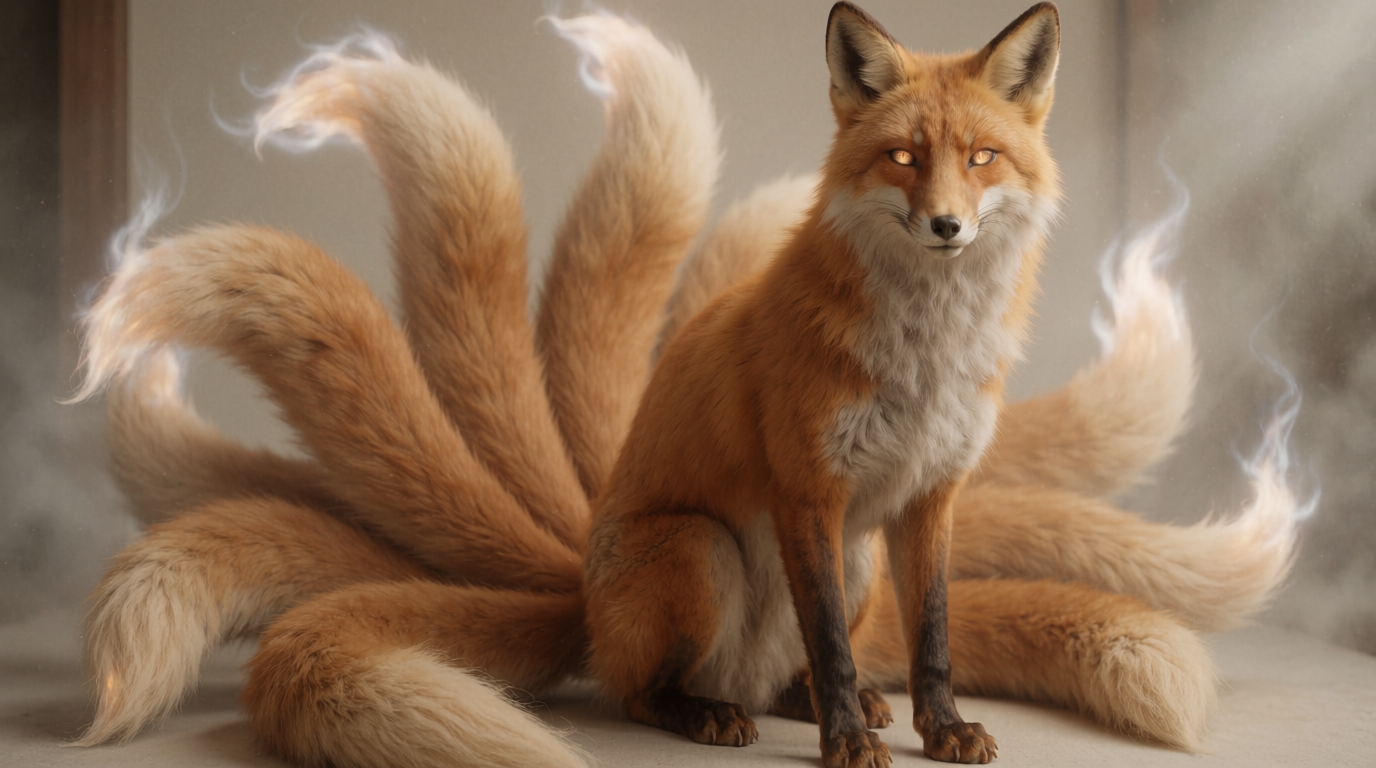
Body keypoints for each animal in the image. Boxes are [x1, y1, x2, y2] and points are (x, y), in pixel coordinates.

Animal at [67, 5, 1299, 768]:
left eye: (981, 158)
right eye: (903, 157)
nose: (947, 225)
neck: (923, 350)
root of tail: (578, 576)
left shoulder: (925, 501)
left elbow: (935, 635)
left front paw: (932, 727)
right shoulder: (806, 490)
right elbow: (836, 647)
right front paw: (848, 745)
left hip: (857, 559)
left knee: (790, 664)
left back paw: (799, 700)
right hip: (704, 550)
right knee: (640, 689)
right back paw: (710, 712)